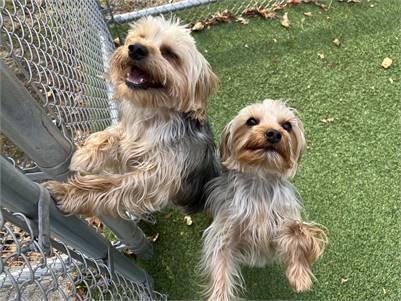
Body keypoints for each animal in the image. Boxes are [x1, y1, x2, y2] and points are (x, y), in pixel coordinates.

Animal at [46, 16, 219, 217]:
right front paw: (86, 154)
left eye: (169, 53)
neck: (152, 114)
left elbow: (112, 184)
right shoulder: (127, 131)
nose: (136, 48)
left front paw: (68, 192)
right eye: (140, 36)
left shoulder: (157, 176)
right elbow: (111, 133)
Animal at [199, 99, 324, 298]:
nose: (274, 133)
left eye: (287, 125)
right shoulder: (225, 233)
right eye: (251, 121)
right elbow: (221, 269)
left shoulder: (283, 219)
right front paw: (219, 296)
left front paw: (300, 276)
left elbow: (296, 232)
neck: (260, 178)